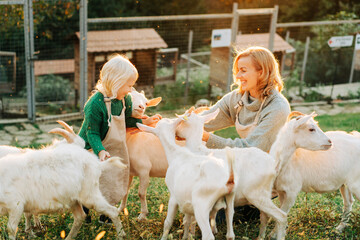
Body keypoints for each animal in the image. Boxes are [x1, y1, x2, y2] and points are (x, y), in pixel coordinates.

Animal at [176, 109, 288, 240]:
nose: (176, 132)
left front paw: (188, 235)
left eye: (182, 122)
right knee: (265, 216)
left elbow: (189, 219)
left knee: (281, 216)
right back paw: (260, 236)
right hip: (264, 194)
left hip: (256, 193)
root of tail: (274, 165)